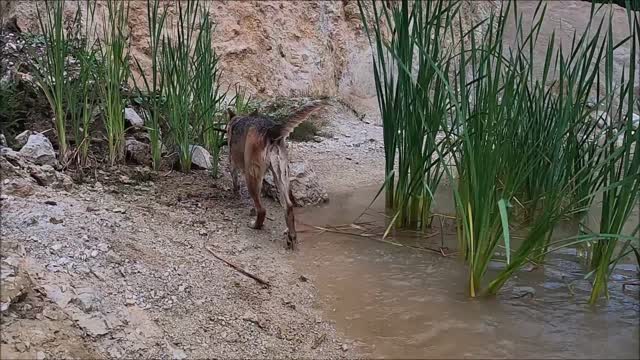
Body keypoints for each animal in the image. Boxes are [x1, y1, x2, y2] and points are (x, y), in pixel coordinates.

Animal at [225, 100, 324, 249]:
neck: (239, 119)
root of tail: (271, 130)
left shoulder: (233, 164)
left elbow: (236, 183)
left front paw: (236, 195)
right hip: (281, 176)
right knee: (288, 206)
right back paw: (291, 237)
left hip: (252, 176)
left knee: (262, 209)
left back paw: (256, 225)